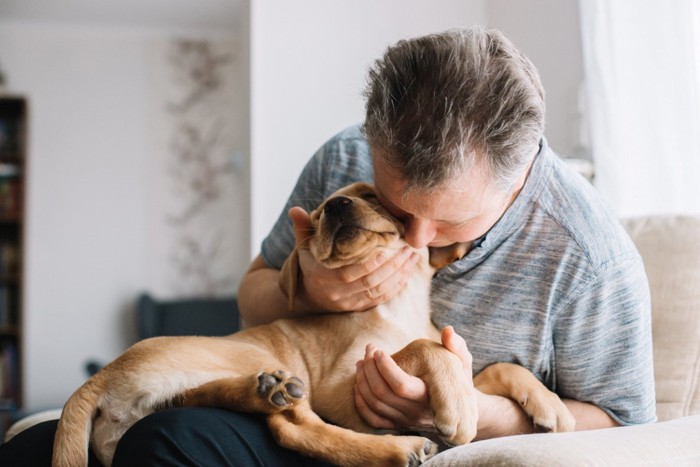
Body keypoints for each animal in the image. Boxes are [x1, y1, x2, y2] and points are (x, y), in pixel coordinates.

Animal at [52, 183, 572, 467]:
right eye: (321, 213)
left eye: (371, 197)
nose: (337, 205)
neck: (396, 309)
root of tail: (96, 381)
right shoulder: (342, 387)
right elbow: (425, 350)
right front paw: (458, 406)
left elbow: (497, 369)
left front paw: (550, 406)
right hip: (248, 355)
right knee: (293, 429)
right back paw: (395, 447)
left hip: (189, 385)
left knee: (262, 413)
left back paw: (265, 391)